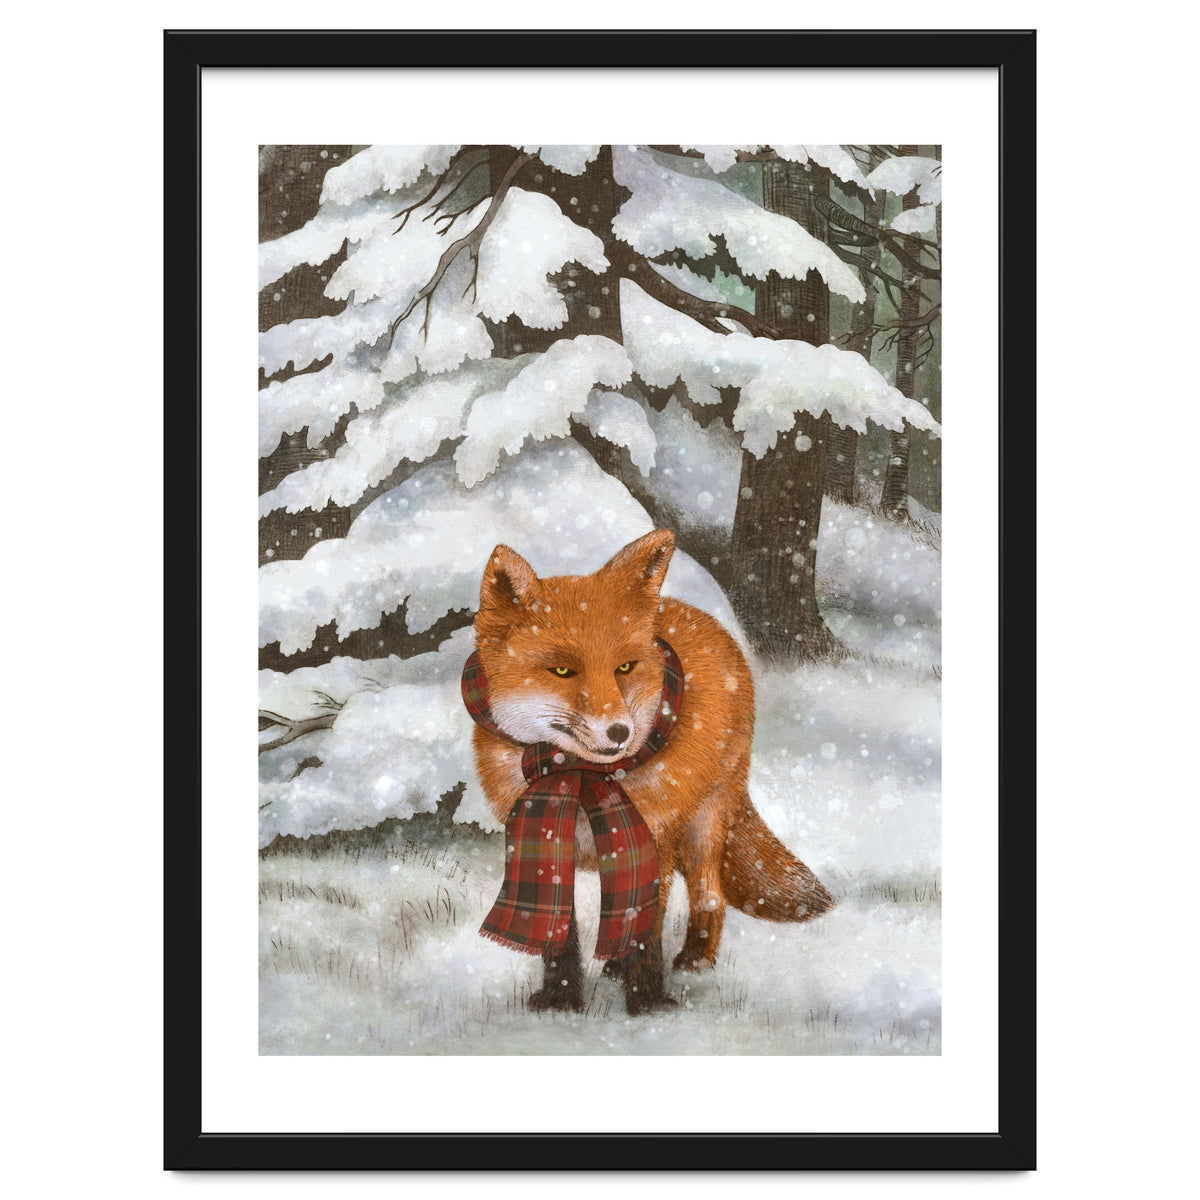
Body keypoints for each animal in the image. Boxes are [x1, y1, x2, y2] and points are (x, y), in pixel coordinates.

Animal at [470, 528, 833, 1014]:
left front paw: (647, 1003)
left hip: (703, 825)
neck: (579, 776)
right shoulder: (547, 838)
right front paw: (560, 1001)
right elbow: (560, 931)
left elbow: (646, 930)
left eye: (624, 667)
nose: (619, 732)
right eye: (562, 670)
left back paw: (695, 959)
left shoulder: (651, 838)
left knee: (709, 894)